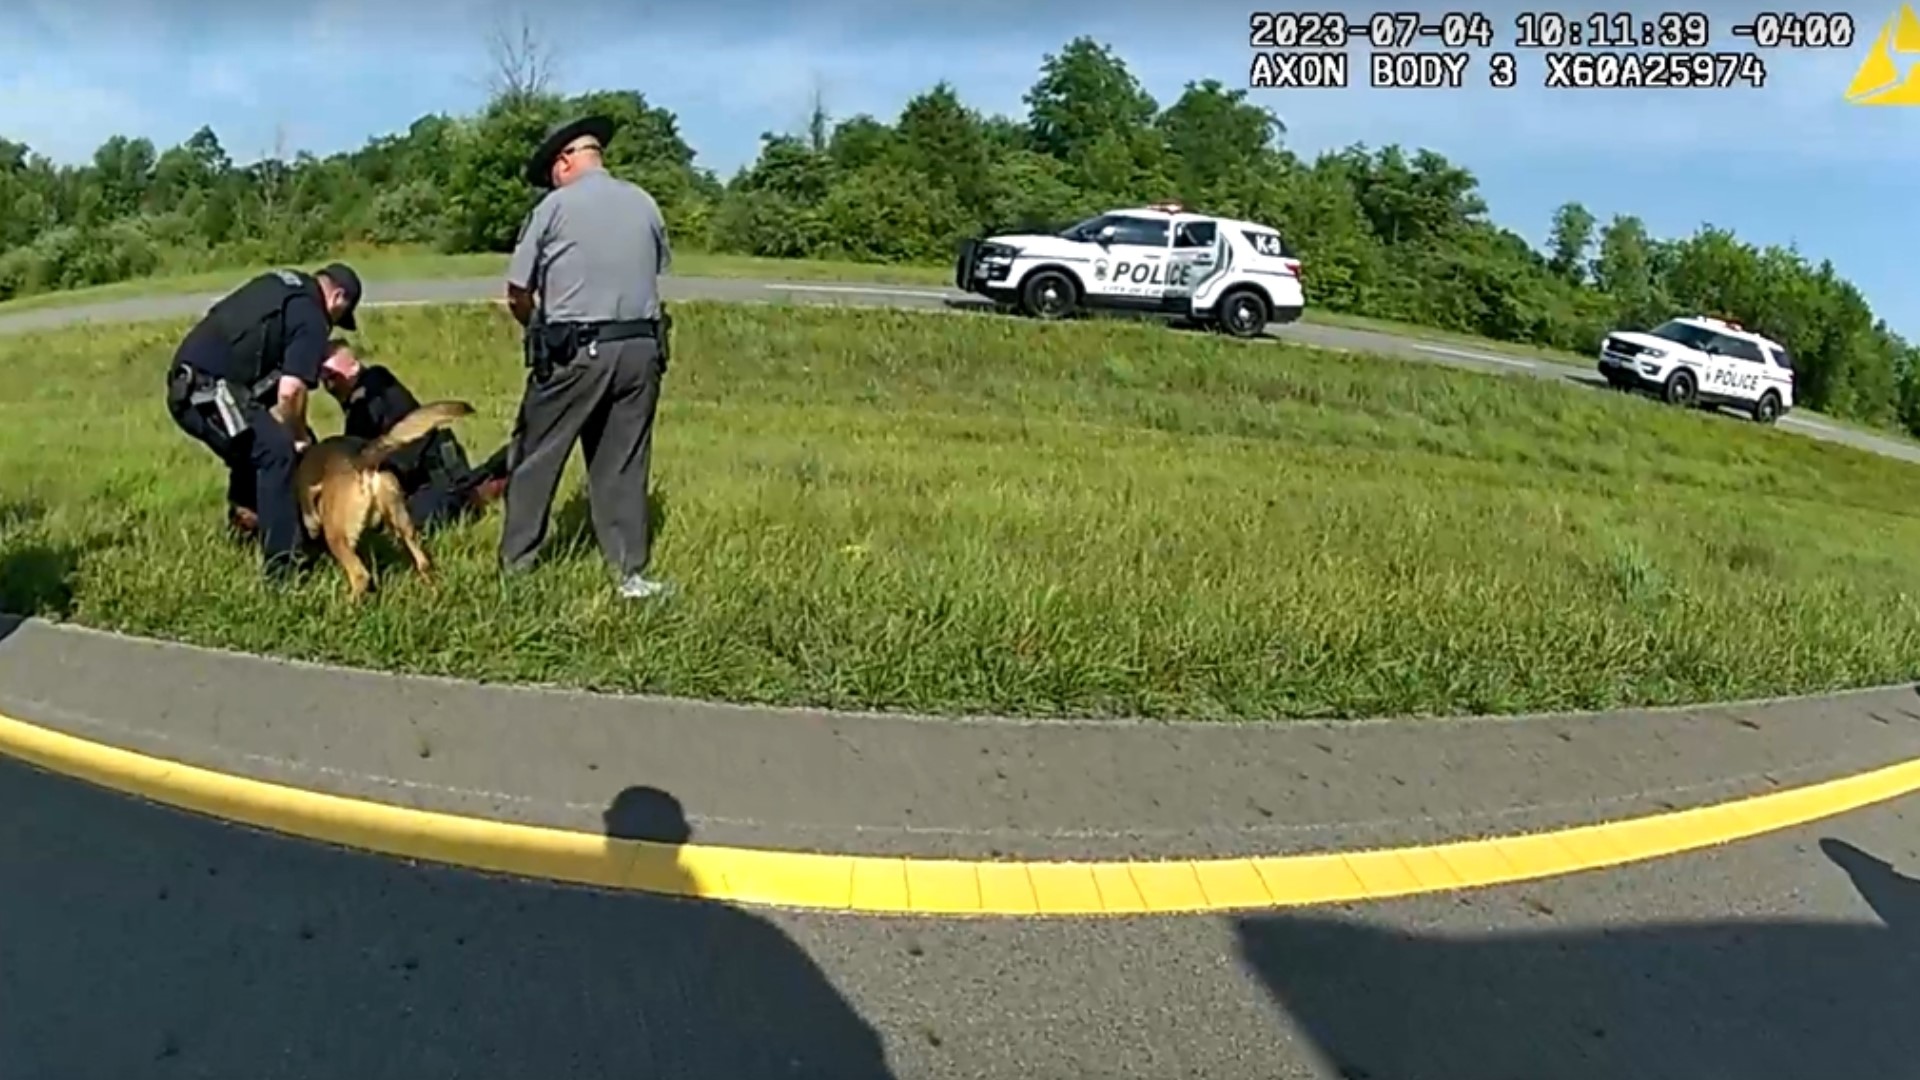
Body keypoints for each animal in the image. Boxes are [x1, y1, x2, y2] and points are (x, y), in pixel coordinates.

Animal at [297, 397, 480, 595]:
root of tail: (361, 459)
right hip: (402, 522)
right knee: (423, 562)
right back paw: (433, 592)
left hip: (337, 536)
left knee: (360, 575)